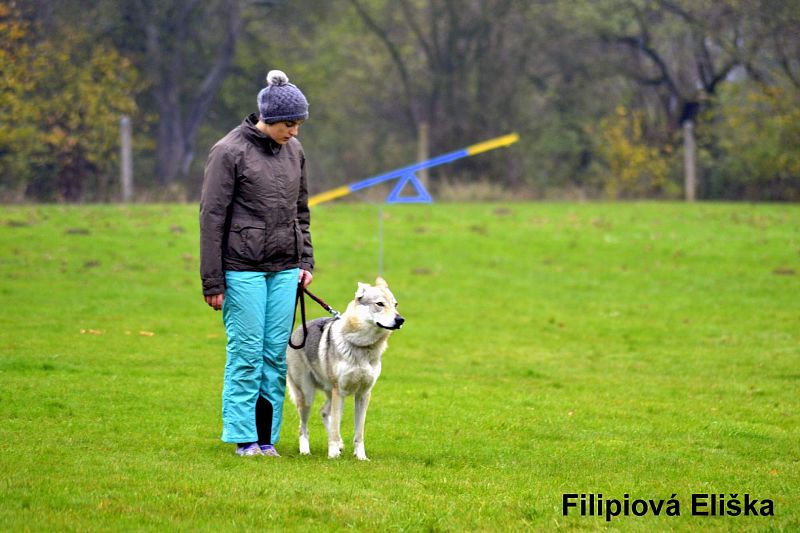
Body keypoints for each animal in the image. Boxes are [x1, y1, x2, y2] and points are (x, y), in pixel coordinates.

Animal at [284, 276, 404, 460]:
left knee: (324, 412)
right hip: (308, 396)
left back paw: (340, 445)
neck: (362, 346)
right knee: (303, 427)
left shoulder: (364, 394)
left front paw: (361, 457)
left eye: (395, 304)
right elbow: (334, 427)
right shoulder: (339, 391)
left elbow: (359, 433)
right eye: (380, 304)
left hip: (329, 393)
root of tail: (298, 329)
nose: (400, 320)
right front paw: (333, 455)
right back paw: (306, 451)